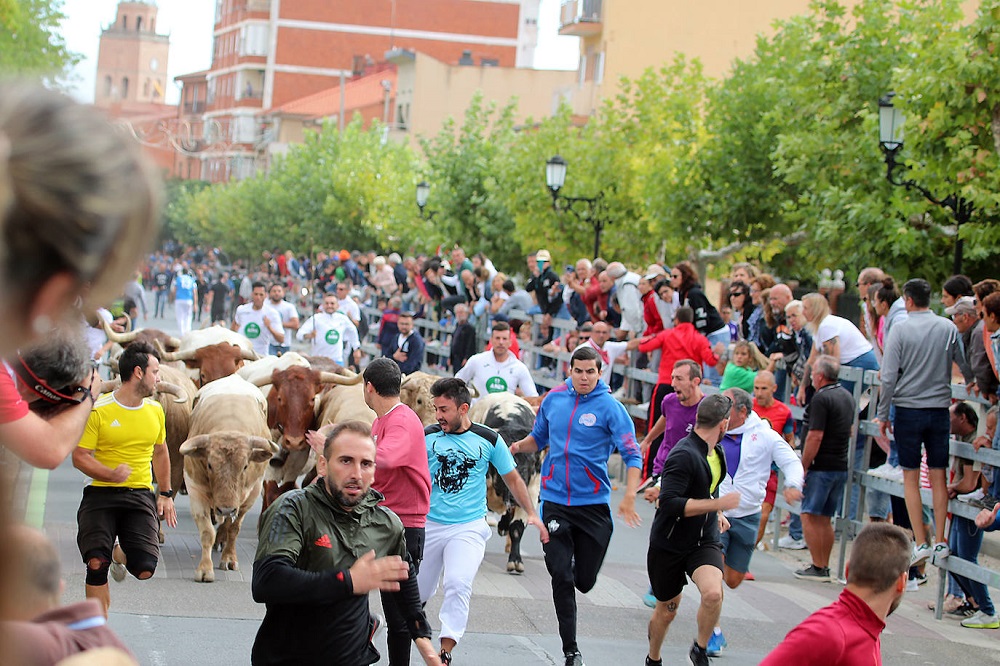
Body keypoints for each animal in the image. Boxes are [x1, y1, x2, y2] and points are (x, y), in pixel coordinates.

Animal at [180, 374, 278, 580]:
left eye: (245, 466)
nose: (225, 508)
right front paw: (205, 568)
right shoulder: (195, 488)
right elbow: (206, 532)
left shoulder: (252, 494)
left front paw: (229, 558)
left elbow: (234, 529)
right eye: (209, 465)